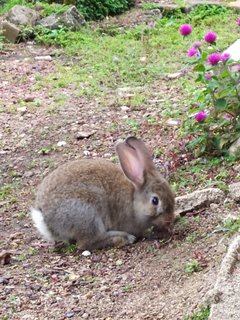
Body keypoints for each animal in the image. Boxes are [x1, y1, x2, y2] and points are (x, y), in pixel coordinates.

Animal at [31, 137, 175, 250]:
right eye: (155, 200)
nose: (169, 219)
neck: (133, 199)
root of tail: (45, 219)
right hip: (87, 215)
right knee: (86, 243)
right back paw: (124, 238)